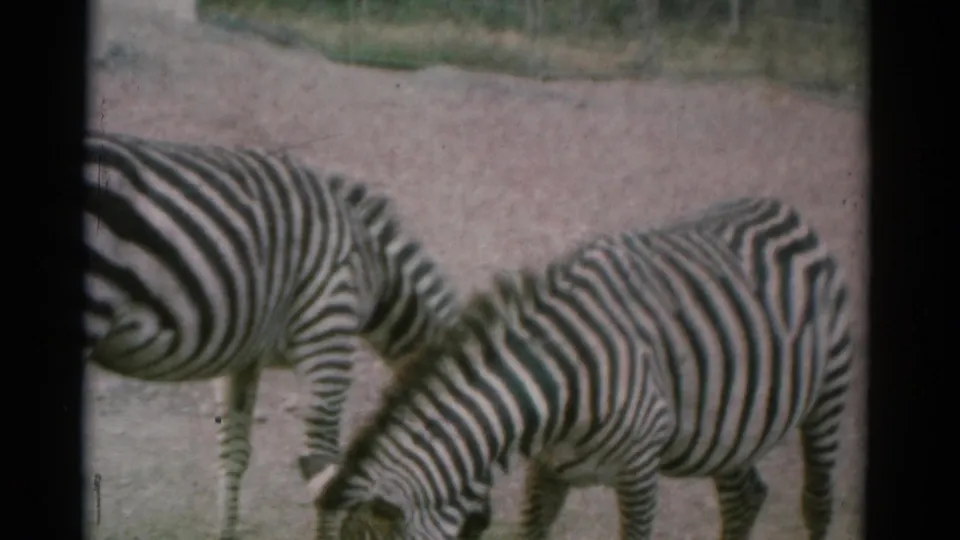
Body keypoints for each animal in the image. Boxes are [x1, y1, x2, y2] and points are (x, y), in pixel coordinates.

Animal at [84, 131, 460, 540]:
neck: (373, 267)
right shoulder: (327, 332)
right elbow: (326, 468)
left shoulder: (242, 353)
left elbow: (233, 454)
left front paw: (227, 532)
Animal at [313, 197, 854, 540]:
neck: (556, 387)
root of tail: (781, 209)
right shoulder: (547, 470)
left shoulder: (640, 471)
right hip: (730, 430)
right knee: (744, 498)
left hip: (828, 395)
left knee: (817, 501)